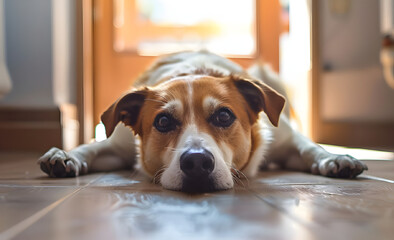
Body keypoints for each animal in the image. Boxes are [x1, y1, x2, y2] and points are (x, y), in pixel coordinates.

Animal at [38, 51, 368, 193]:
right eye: (163, 121)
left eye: (224, 116)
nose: (196, 162)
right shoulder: (117, 143)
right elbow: (91, 147)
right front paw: (66, 155)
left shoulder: (285, 140)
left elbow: (310, 147)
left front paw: (335, 158)